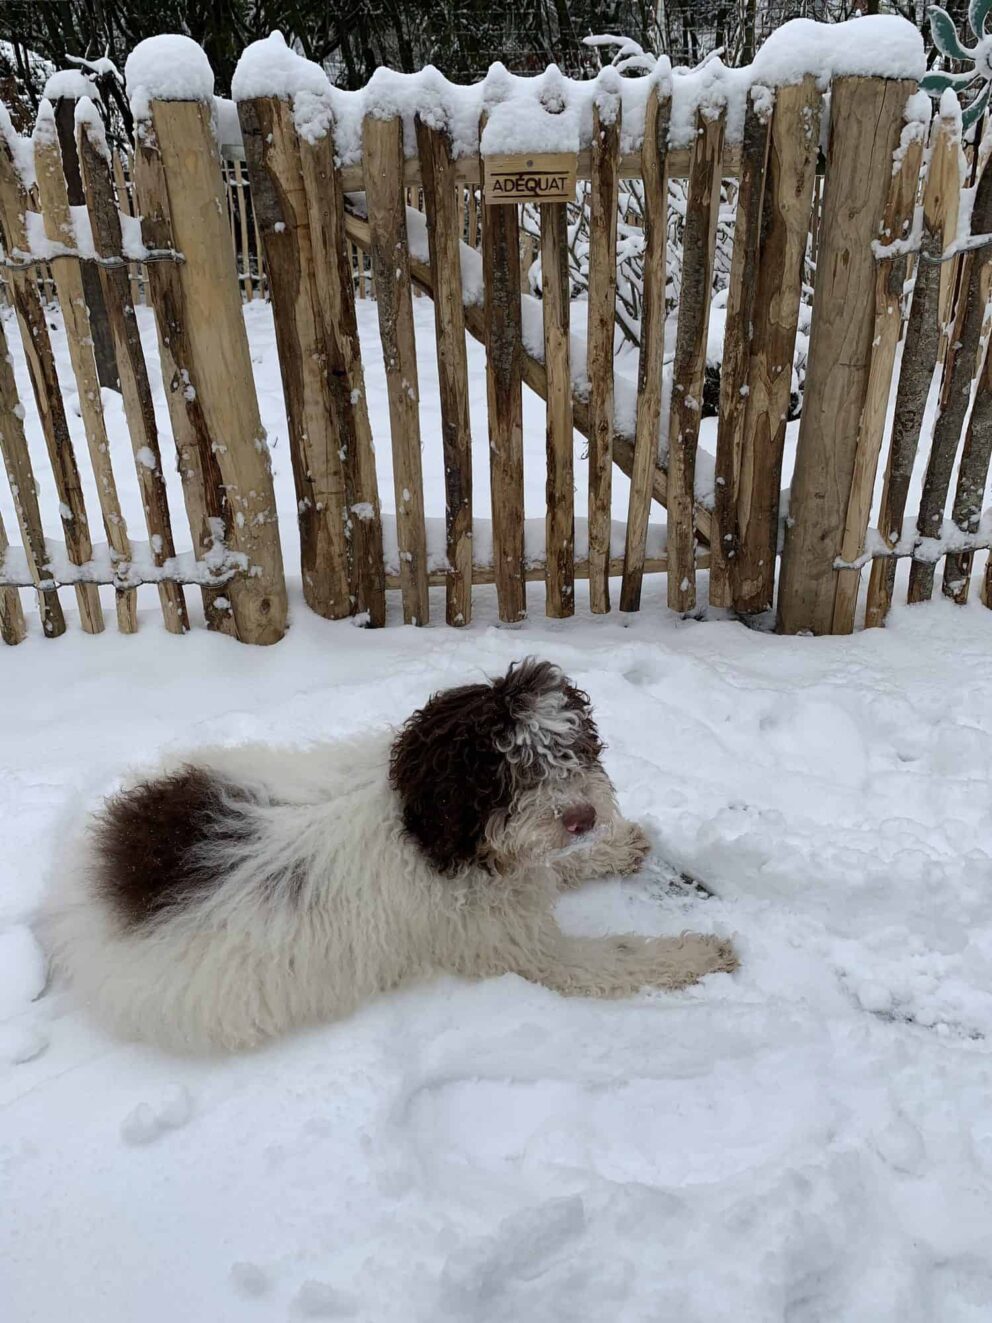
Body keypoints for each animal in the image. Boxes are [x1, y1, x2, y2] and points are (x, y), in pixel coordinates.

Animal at [40, 661, 740, 1053]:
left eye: (572, 750)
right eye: (505, 775)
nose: (583, 818)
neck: (429, 831)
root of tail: (88, 886)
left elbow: (553, 866)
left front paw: (615, 848)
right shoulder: (519, 949)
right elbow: (618, 958)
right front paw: (701, 952)